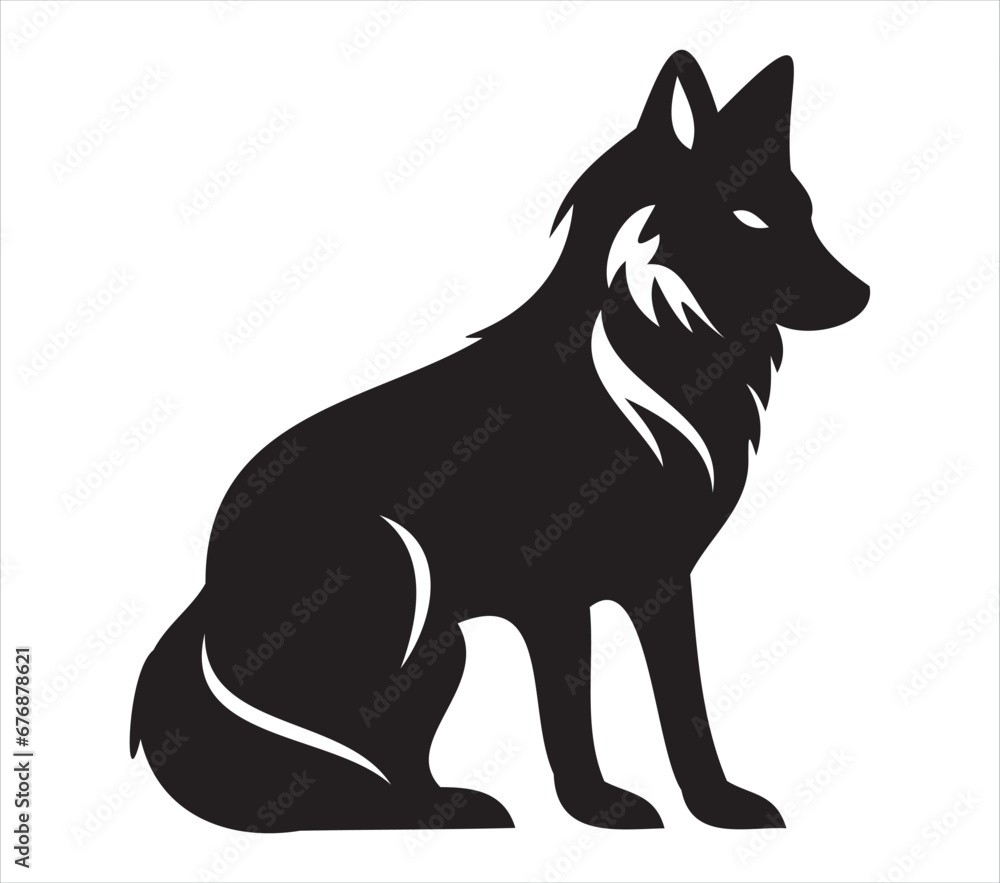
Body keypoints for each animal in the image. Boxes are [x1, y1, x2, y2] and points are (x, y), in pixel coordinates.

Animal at [130, 50, 869, 832]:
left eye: (807, 215)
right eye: (750, 219)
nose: (864, 294)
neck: (645, 373)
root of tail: (206, 587)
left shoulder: (662, 584)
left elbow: (685, 708)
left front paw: (716, 804)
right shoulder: (555, 601)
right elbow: (569, 714)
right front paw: (599, 806)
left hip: (437, 648)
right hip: (415, 625)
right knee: (347, 768)